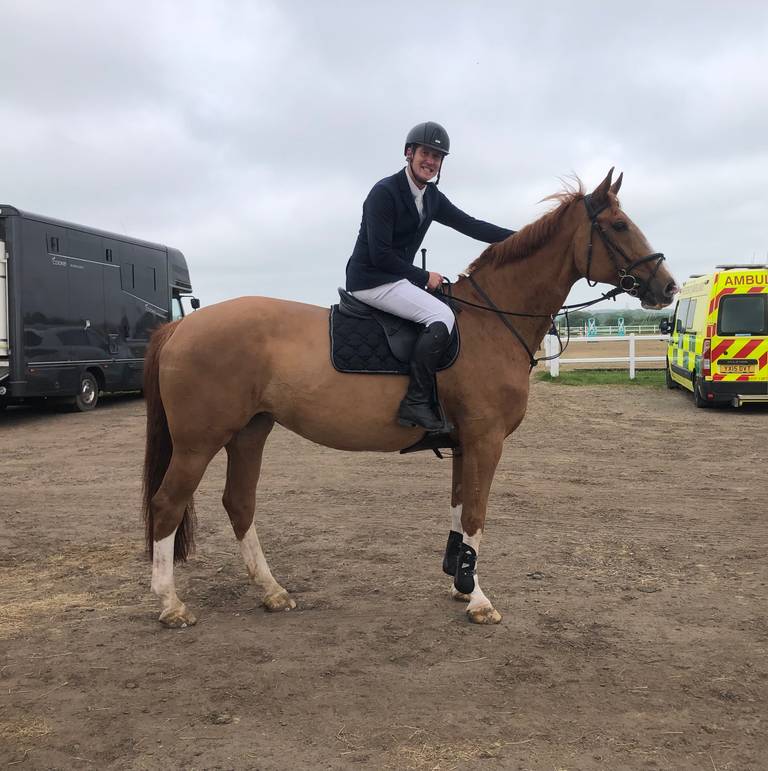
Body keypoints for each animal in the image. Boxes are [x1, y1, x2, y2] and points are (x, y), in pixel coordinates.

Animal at [142, 168, 677, 627]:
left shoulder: (464, 445)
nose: (667, 286)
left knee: (239, 503)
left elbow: (460, 510)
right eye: (619, 225)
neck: (490, 322)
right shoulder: (486, 441)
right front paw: (479, 600)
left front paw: (460, 582)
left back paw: (271, 591)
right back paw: (171, 605)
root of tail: (182, 326)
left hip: (250, 432)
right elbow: (476, 513)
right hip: (198, 442)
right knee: (167, 503)